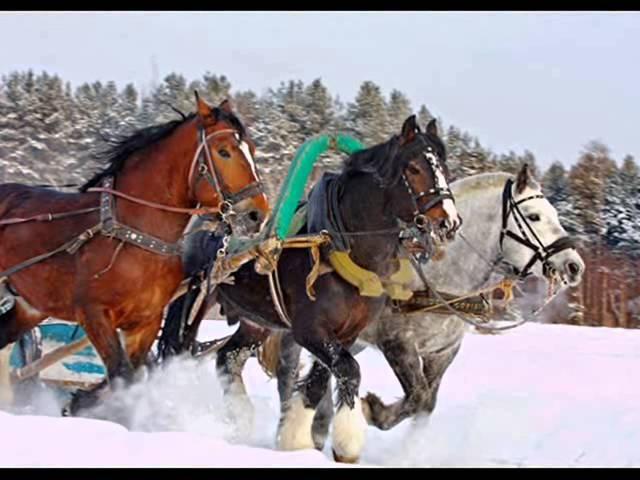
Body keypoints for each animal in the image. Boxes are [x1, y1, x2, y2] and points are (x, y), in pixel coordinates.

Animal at [0, 94, 268, 416]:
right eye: (224, 151)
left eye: (252, 149)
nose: (257, 214)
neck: (134, 235)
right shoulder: (94, 314)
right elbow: (122, 377)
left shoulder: (145, 323)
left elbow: (133, 377)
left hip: (29, 306)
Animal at [159, 114, 460, 464]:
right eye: (413, 168)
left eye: (444, 166)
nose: (449, 222)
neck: (341, 245)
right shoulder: (309, 330)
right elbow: (349, 369)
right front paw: (343, 442)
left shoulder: (345, 333)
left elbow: (319, 382)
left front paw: (296, 438)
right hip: (193, 301)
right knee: (176, 350)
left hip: (257, 319)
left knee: (228, 357)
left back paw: (240, 416)